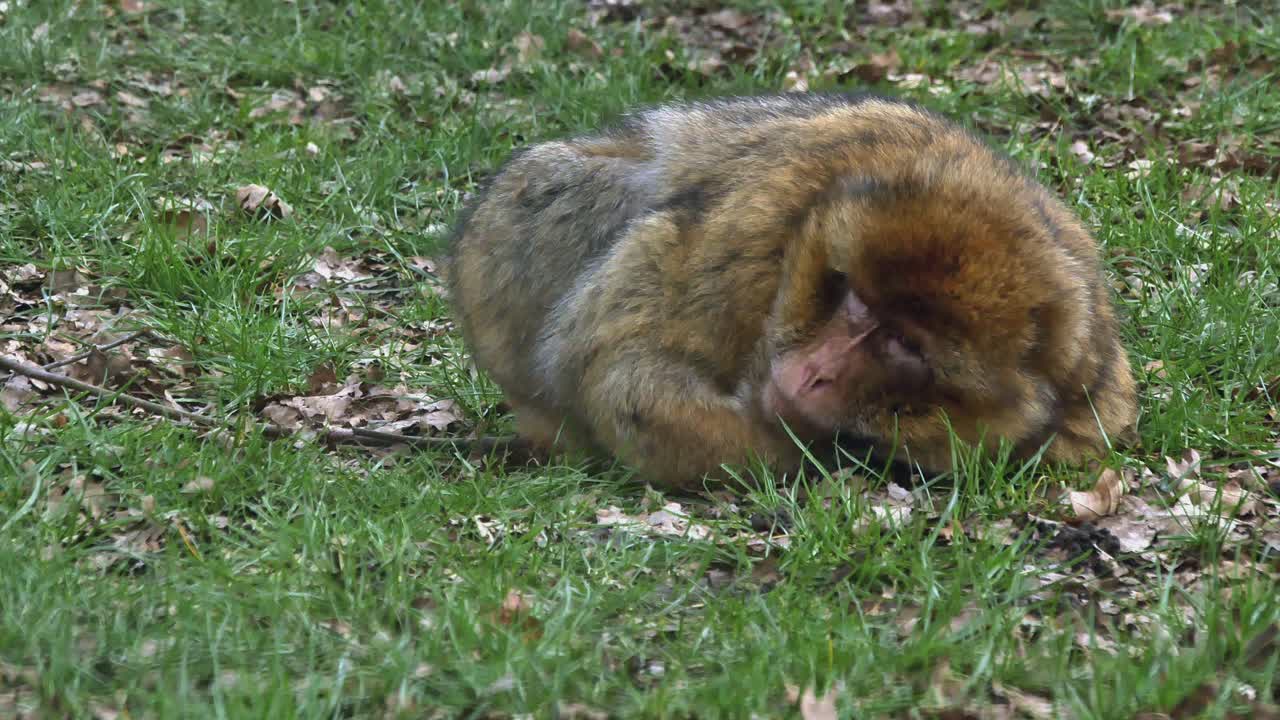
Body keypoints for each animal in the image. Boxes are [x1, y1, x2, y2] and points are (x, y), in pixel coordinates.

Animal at [445, 92, 1137, 491]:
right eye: (856, 304)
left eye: (905, 346)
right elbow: (622, 371)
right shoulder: (754, 231)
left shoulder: (1087, 419)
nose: (818, 373)